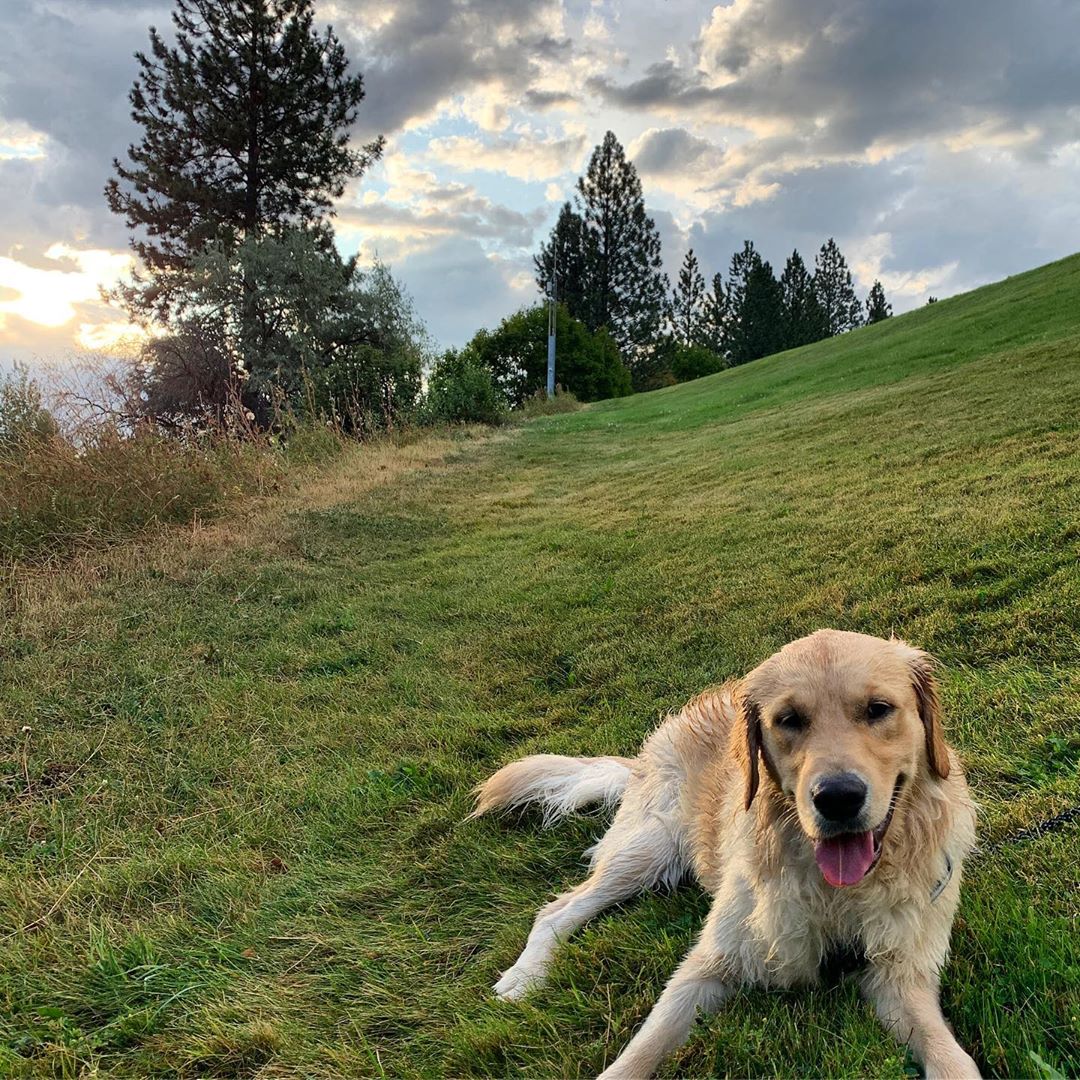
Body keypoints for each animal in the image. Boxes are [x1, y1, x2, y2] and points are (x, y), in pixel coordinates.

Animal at [470, 630, 980, 1075]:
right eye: (789, 719)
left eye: (878, 710)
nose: (837, 798)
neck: (834, 893)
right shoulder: (709, 961)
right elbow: (643, 1047)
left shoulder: (901, 974)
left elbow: (951, 1056)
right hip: (649, 851)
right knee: (558, 910)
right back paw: (524, 977)